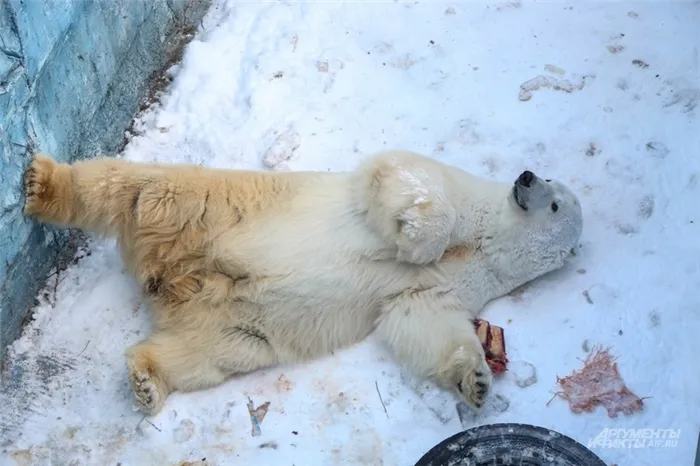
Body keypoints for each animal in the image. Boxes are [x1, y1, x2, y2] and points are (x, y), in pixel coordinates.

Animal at [21, 148, 584, 416]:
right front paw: (412, 244)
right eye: (549, 181)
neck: (488, 242)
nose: (525, 176)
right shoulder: (453, 191)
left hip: (232, 319)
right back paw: (43, 184)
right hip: (206, 209)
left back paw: (146, 382)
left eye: (556, 200)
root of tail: (168, 276)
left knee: (211, 353)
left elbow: (418, 318)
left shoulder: (463, 284)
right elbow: (405, 176)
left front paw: (477, 382)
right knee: (137, 189)